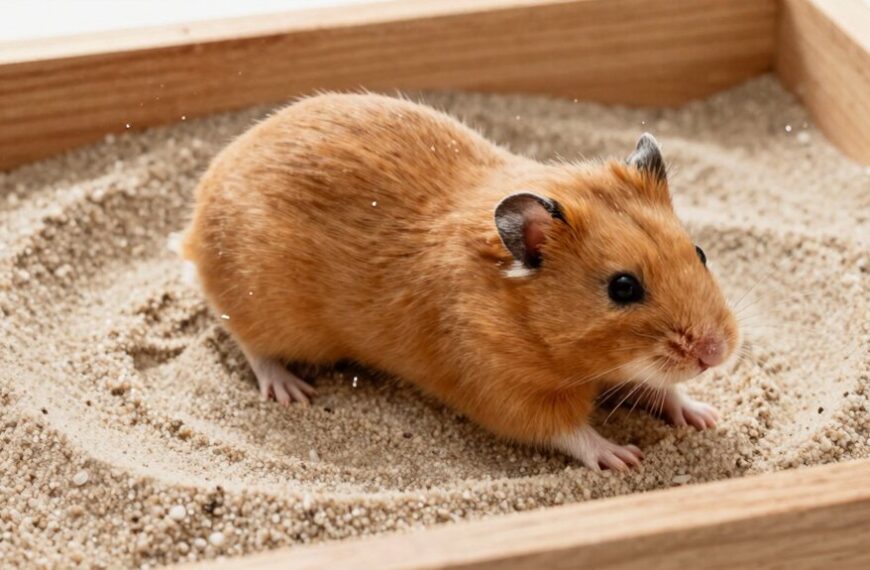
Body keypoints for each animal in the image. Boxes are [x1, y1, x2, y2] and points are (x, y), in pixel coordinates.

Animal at [181, 93, 739, 471]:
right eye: (623, 288)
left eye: (700, 253)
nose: (715, 353)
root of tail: (196, 221)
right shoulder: (506, 393)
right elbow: (569, 432)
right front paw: (622, 457)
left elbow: (661, 389)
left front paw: (706, 416)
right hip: (268, 312)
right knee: (248, 342)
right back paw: (290, 390)